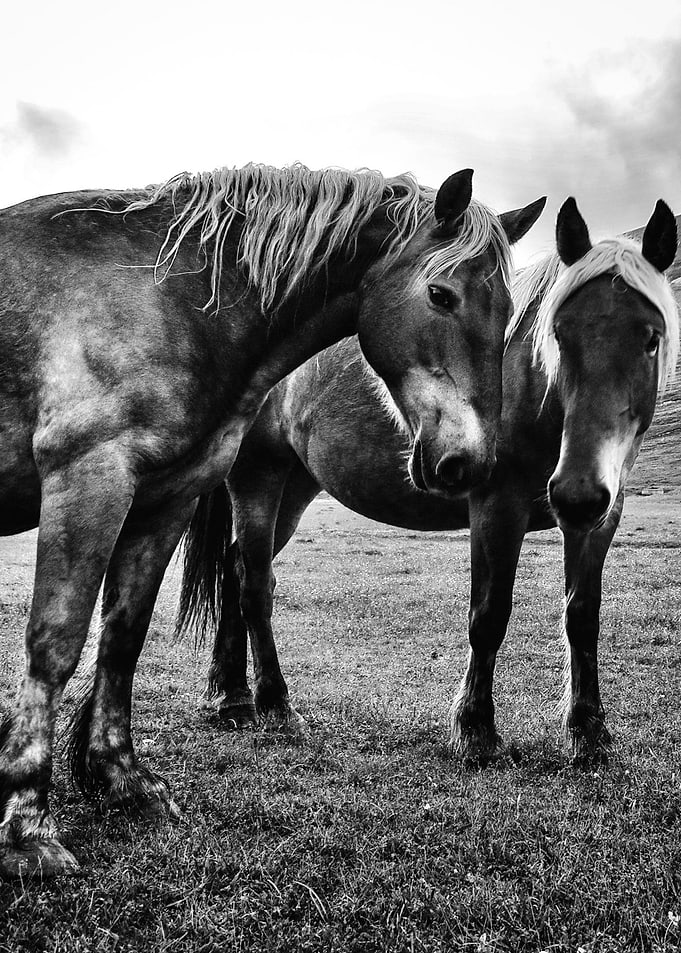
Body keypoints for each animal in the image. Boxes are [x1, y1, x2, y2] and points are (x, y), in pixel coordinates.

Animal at [0, 162, 545, 877]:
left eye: (509, 315)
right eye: (441, 295)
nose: (469, 463)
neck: (166, 294)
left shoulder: (166, 497)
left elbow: (123, 635)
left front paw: (121, 780)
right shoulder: (88, 479)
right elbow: (55, 642)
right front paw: (28, 827)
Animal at [175, 196, 679, 764]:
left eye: (651, 339)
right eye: (558, 335)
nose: (576, 493)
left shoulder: (600, 518)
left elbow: (583, 619)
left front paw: (588, 731)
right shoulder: (496, 507)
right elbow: (489, 615)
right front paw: (476, 729)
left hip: (295, 489)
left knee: (235, 568)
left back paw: (231, 695)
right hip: (258, 477)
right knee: (254, 582)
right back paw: (271, 702)